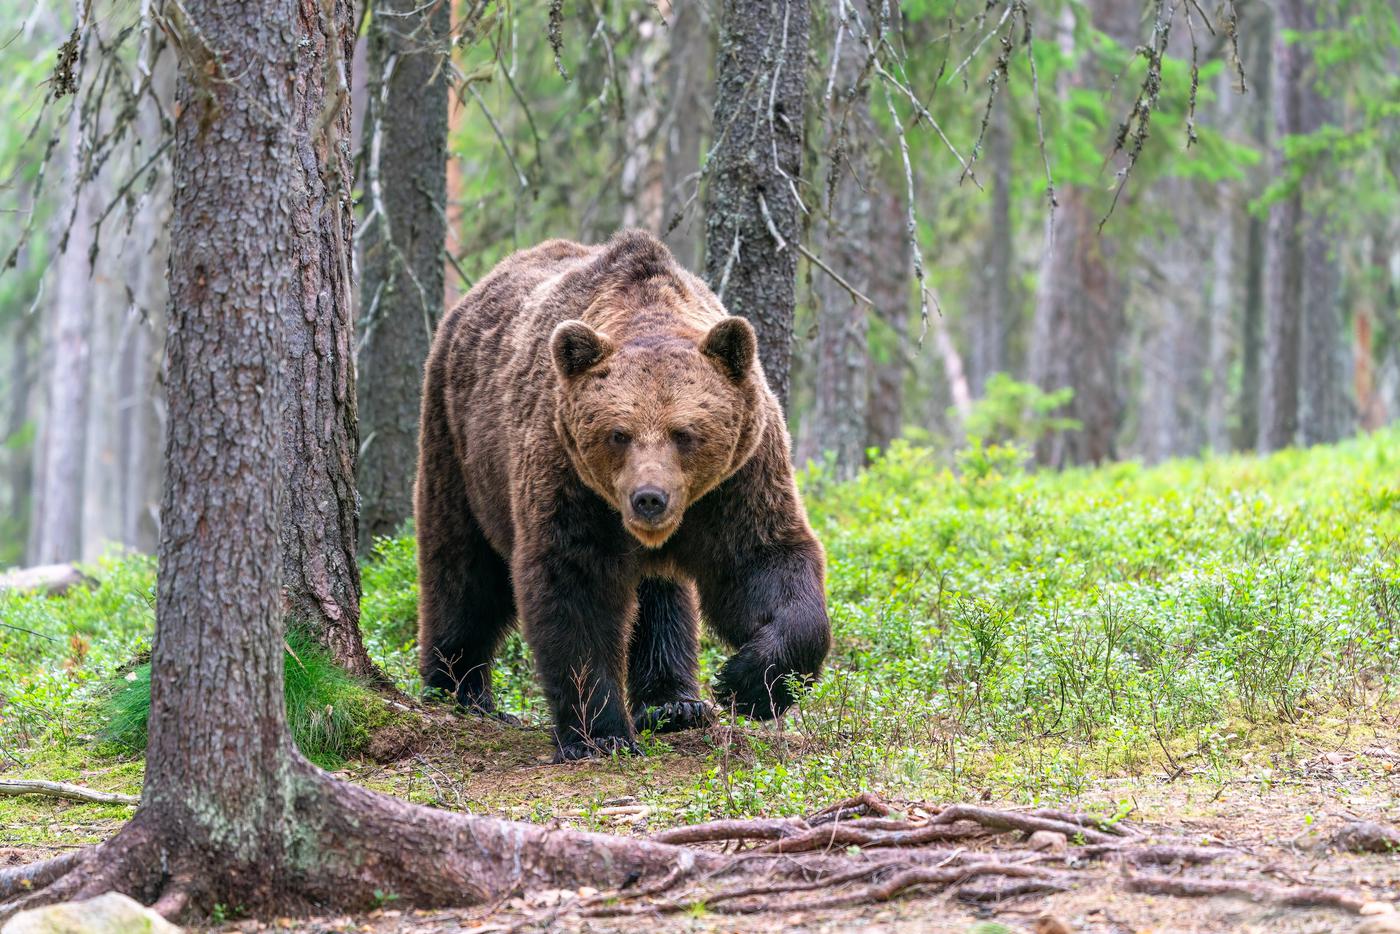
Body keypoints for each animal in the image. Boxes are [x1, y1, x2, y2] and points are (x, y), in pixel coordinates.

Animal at [415, 229, 830, 761]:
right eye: (618, 433)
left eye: (684, 433)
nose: (649, 498)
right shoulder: (569, 478)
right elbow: (576, 587)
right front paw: (600, 734)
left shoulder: (737, 480)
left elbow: (764, 563)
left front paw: (744, 683)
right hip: (459, 447)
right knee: (463, 568)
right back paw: (458, 689)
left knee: (661, 597)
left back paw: (675, 703)